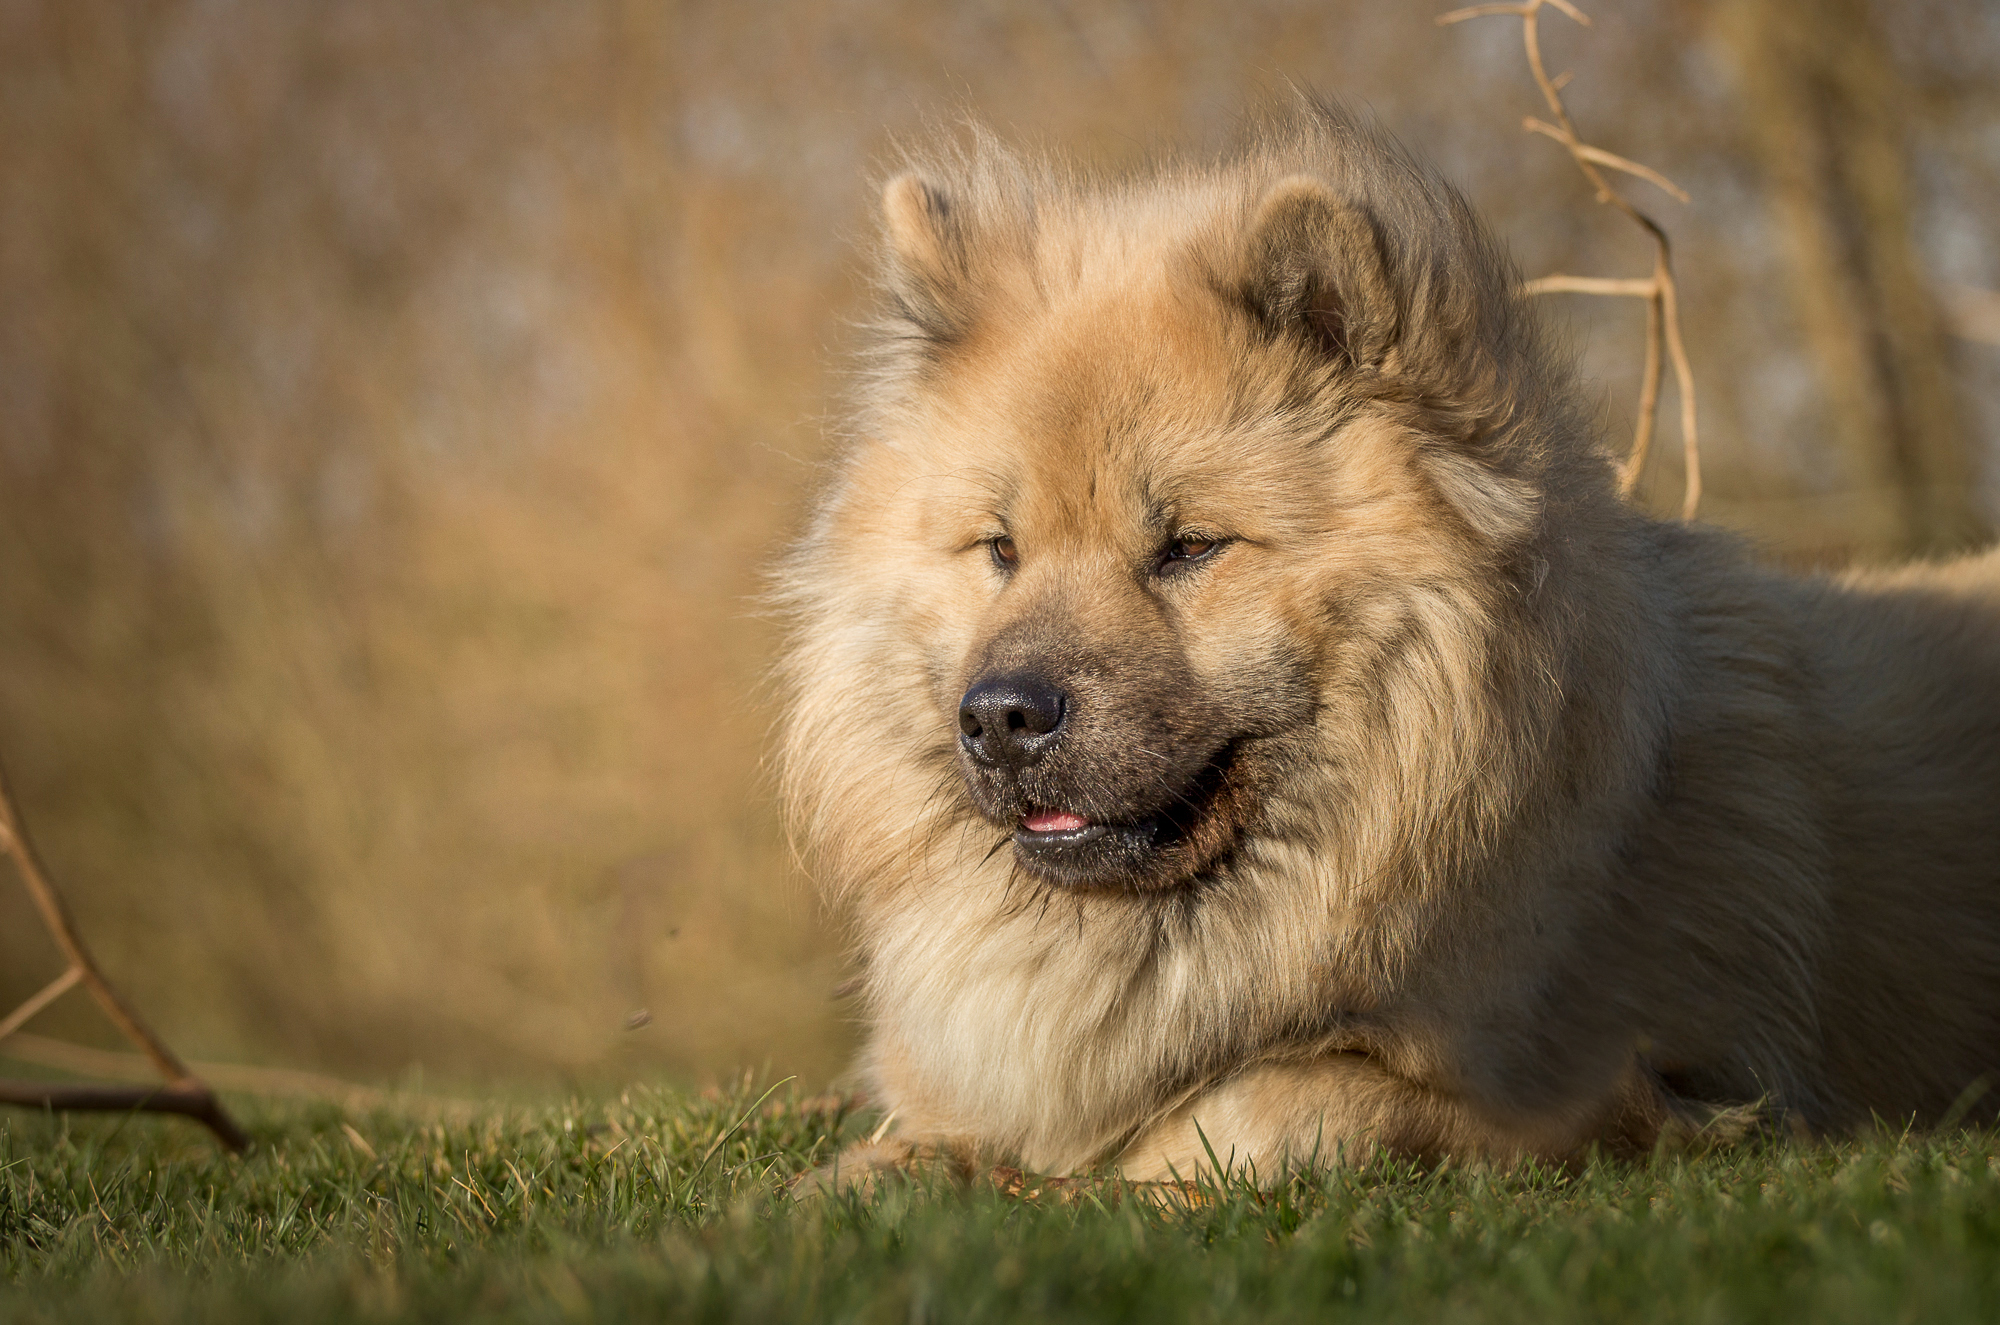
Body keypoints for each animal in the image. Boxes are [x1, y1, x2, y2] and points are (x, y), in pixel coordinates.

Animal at [776, 106, 2000, 1184]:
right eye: (999, 549)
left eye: (1189, 546)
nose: (1000, 714)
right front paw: (864, 1178)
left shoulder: (1616, 1086)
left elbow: (1276, 1100)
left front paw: (1115, 1176)